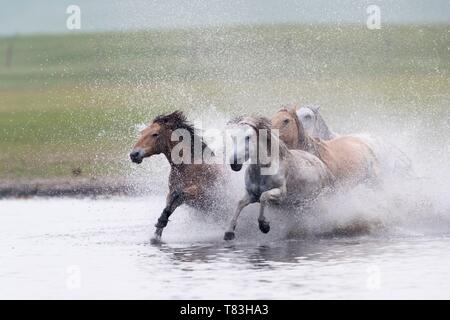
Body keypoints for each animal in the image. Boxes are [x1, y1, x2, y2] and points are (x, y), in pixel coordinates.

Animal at [128, 111, 223, 241]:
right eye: (142, 132)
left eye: (155, 134)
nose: (134, 154)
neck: (186, 166)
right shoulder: (174, 194)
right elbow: (170, 203)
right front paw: (157, 232)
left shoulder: (204, 193)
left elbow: (178, 194)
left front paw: (160, 222)